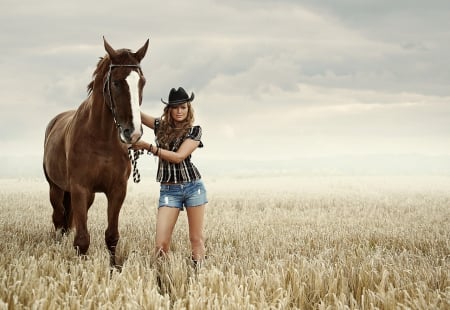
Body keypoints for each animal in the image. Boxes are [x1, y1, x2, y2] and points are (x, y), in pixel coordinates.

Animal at [43, 37, 149, 266]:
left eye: (142, 82)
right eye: (116, 82)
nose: (134, 132)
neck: (101, 139)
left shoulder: (117, 190)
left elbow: (112, 236)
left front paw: (113, 268)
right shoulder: (79, 188)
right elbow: (82, 239)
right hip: (56, 188)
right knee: (58, 218)